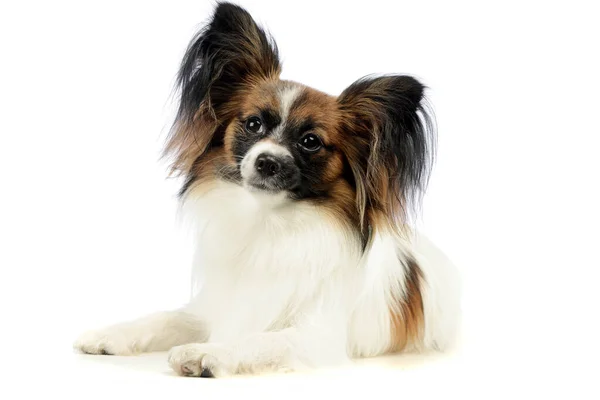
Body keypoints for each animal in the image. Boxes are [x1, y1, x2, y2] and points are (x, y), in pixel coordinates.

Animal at [74, 2, 460, 378]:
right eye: (253, 124)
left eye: (310, 142)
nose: (267, 162)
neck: (269, 222)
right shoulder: (214, 307)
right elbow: (164, 318)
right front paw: (110, 334)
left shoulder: (314, 336)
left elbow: (259, 340)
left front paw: (207, 352)